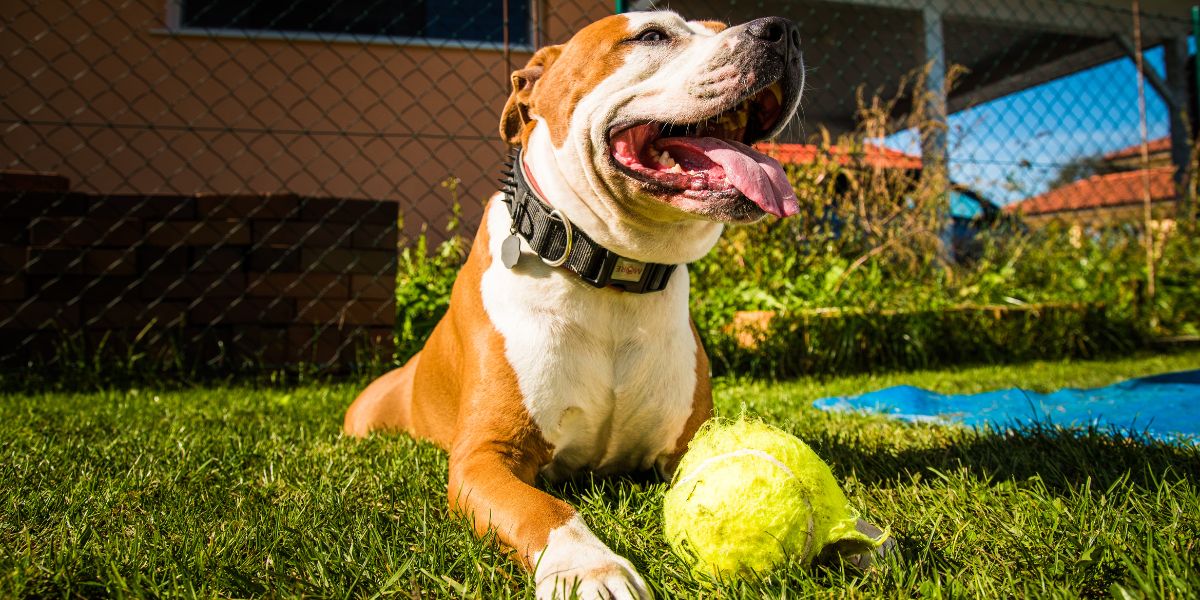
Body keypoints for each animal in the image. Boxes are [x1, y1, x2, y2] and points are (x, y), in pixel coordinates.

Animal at [348, 10, 811, 600]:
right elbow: (544, 508)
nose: (783, 31)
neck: (612, 274)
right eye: (651, 35)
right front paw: (590, 567)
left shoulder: (688, 443)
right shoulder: (485, 458)